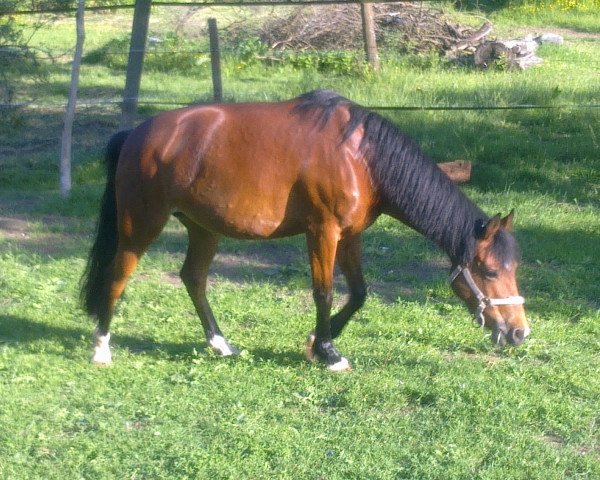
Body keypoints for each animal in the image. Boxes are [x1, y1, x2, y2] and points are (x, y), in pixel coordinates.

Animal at [81, 90, 528, 370]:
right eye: (490, 271)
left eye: (514, 269)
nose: (519, 333)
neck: (362, 158)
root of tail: (137, 133)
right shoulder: (323, 231)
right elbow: (324, 292)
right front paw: (329, 353)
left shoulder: (351, 235)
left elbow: (359, 293)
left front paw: (316, 344)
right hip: (142, 223)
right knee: (118, 275)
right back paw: (101, 348)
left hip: (204, 228)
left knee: (193, 278)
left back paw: (221, 344)